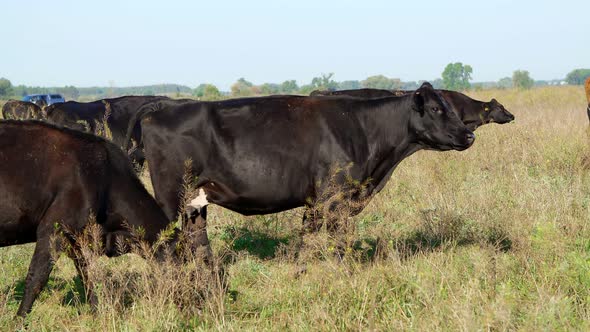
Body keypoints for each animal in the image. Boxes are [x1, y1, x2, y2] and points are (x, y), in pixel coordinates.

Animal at [0, 120, 182, 316]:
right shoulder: (53, 229)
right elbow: (36, 278)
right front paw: (20, 318)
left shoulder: (80, 239)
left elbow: (89, 277)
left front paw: (97, 314)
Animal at [128, 82, 476, 241]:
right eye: (436, 109)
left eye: (451, 106)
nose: (469, 135)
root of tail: (164, 106)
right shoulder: (333, 200)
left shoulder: (317, 202)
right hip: (170, 196)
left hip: (195, 203)